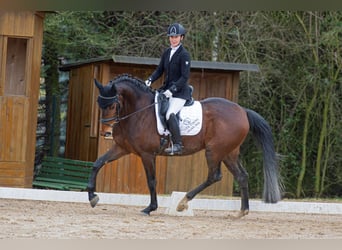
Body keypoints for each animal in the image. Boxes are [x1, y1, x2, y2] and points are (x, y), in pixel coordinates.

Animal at [87, 73, 282, 217]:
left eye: (113, 105)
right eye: (99, 103)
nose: (106, 132)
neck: (137, 111)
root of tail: (242, 111)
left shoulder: (147, 154)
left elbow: (151, 180)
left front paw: (150, 208)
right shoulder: (122, 148)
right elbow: (97, 163)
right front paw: (92, 197)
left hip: (214, 151)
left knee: (214, 176)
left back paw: (182, 203)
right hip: (229, 153)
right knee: (241, 176)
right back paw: (242, 211)